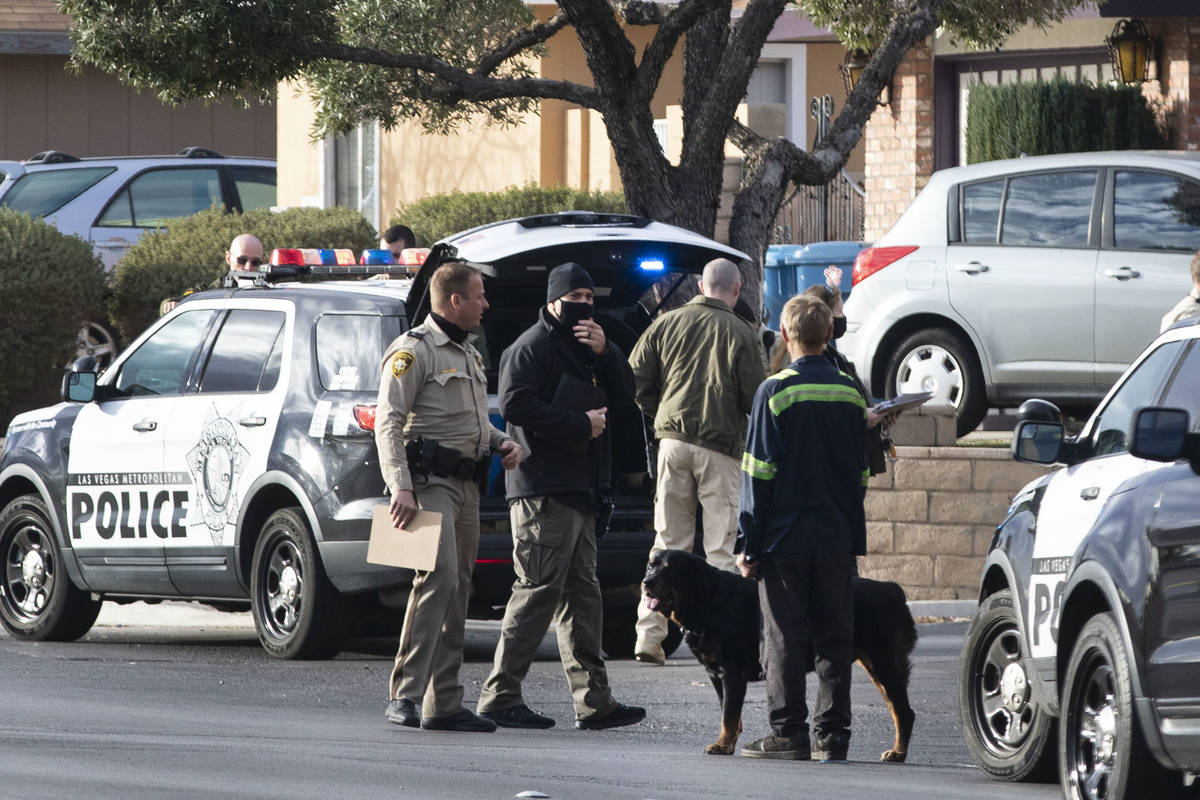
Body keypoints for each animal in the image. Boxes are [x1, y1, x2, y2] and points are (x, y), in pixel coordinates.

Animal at [643, 546, 912, 762]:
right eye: (650, 565)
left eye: (669, 570)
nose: (646, 582)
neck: (706, 601)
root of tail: (894, 589)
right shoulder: (715, 673)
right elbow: (729, 715)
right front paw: (727, 744)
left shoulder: (732, 673)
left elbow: (728, 716)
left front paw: (722, 745)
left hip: (883, 662)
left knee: (903, 712)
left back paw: (898, 753)